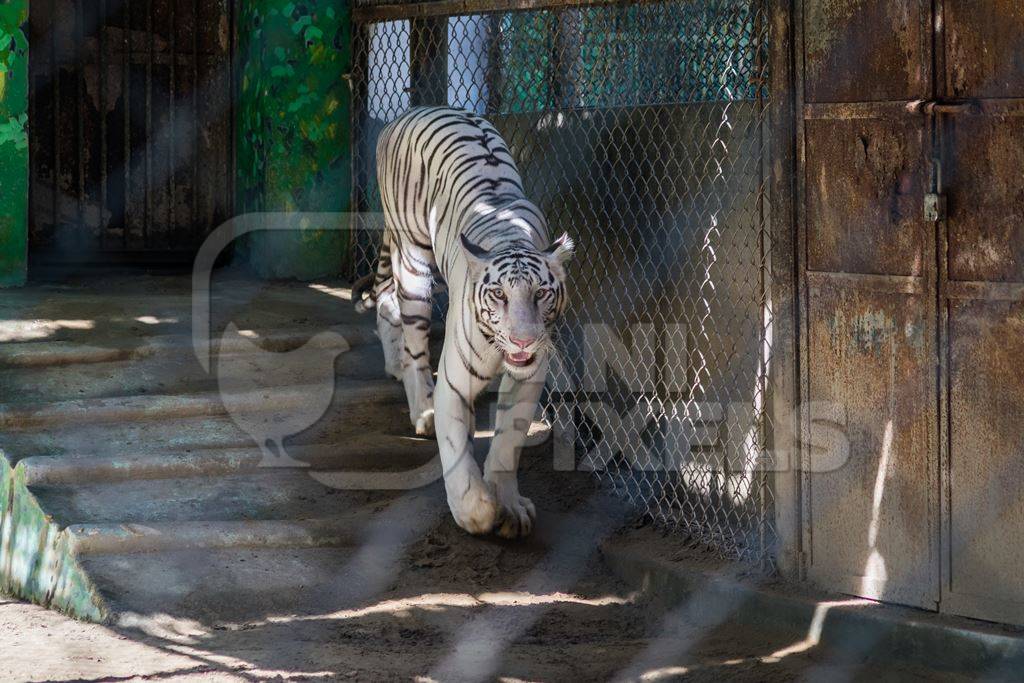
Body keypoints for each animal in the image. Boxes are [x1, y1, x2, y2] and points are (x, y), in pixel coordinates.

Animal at [356, 108, 573, 540]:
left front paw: (510, 507)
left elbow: (508, 443)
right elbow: (455, 449)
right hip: (413, 265)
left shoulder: (528, 379)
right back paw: (421, 407)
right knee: (412, 340)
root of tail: (407, 114)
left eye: (541, 293)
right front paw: (476, 510)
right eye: (499, 295)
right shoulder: (454, 383)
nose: (523, 342)